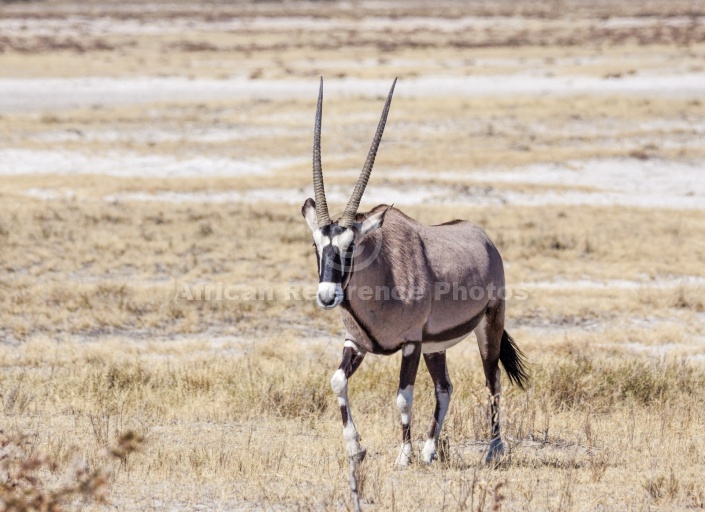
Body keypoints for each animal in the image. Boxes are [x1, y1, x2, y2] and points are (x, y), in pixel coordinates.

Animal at [302, 78, 528, 466]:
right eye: (319, 245)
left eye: (351, 246)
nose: (328, 295)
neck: (382, 277)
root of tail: (483, 237)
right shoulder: (356, 343)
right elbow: (337, 382)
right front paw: (356, 448)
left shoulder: (410, 343)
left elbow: (403, 397)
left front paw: (403, 456)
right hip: (435, 346)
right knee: (444, 388)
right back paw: (430, 450)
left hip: (489, 326)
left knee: (493, 379)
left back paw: (493, 450)